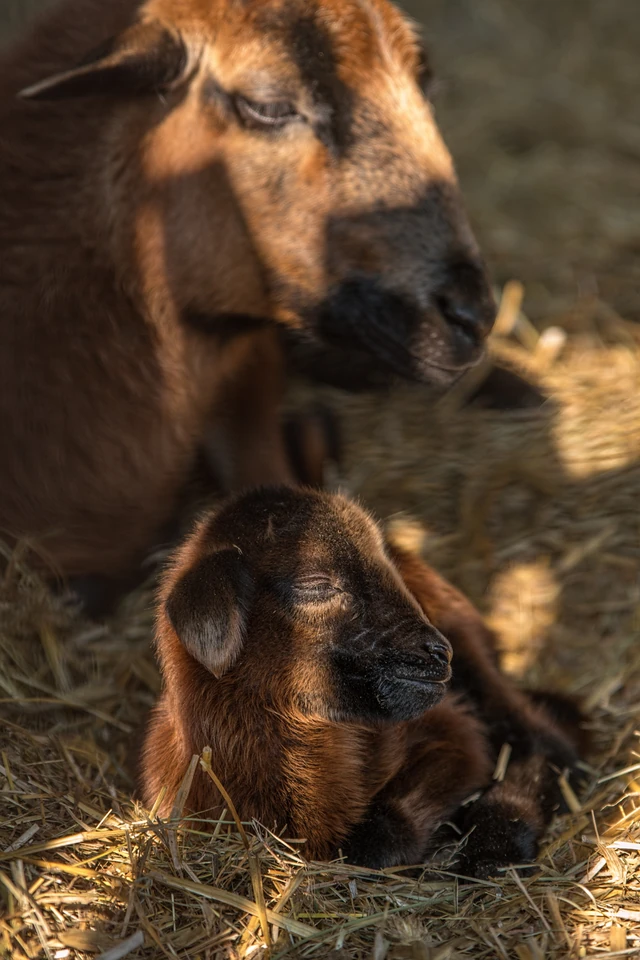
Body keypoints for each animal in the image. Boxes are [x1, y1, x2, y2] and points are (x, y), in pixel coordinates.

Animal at [141, 488, 584, 876]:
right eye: (315, 584)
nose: (438, 652)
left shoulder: (452, 733)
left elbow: (377, 836)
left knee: (546, 739)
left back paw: (495, 848)